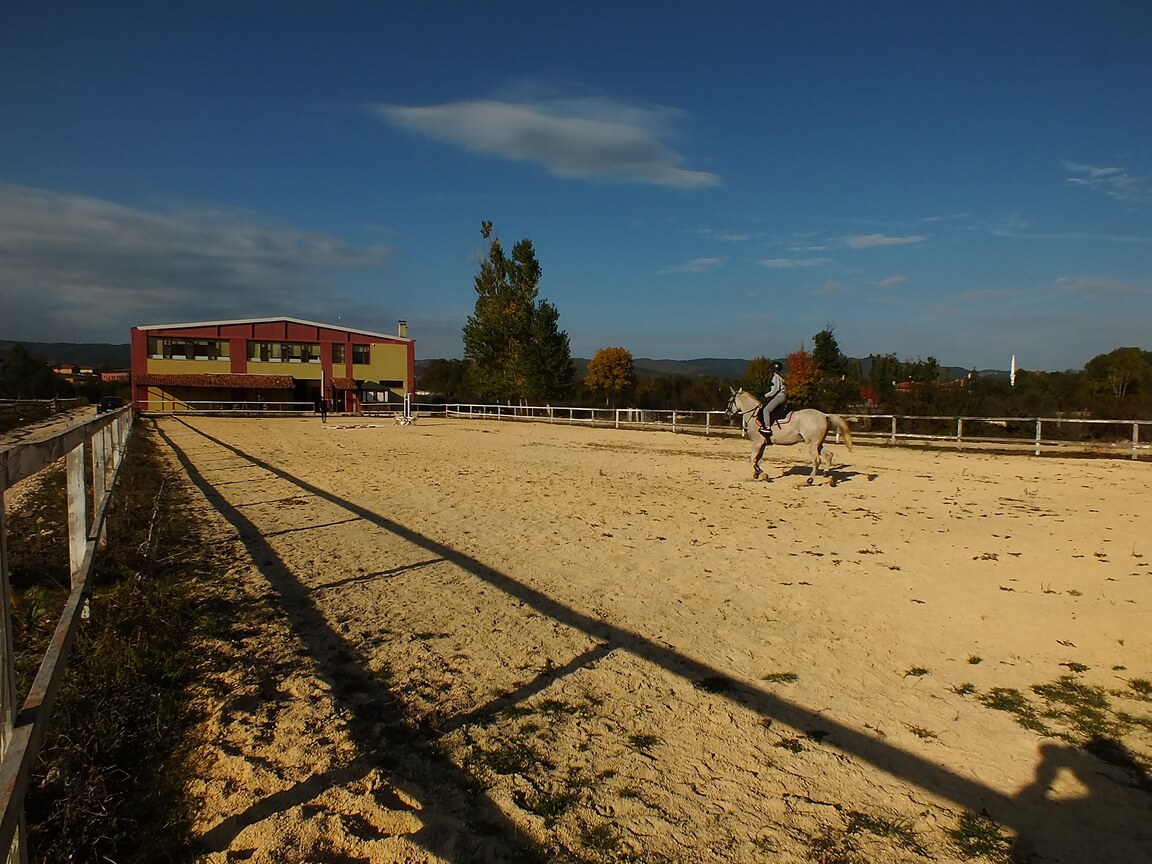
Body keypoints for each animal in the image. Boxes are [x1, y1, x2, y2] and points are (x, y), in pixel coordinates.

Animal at [723, 391, 852, 488]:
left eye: (729, 401)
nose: (726, 416)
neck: (754, 415)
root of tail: (824, 415)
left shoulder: (757, 443)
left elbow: (752, 460)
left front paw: (765, 476)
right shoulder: (763, 444)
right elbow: (757, 460)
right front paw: (756, 474)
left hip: (812, 445)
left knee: (817, 461)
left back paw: (809, 480)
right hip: (818, 444)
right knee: (829, 455)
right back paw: (827, 475)